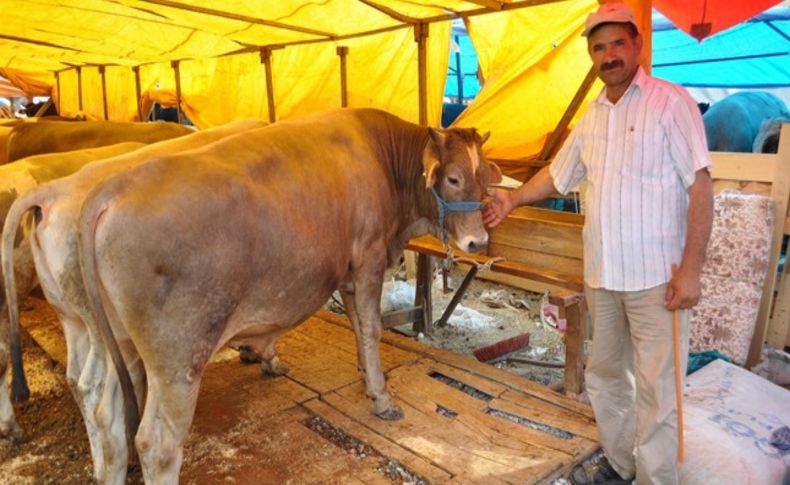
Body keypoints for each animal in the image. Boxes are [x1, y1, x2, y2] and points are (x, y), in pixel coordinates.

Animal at [76, 108, 502, 482]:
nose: (478, 241)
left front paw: (368, 378)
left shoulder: (347, 271)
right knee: (157, 445)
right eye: (453, 178)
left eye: (483, 176)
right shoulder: (369, 258)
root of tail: (112, 189)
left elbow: (358, 326)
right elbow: (372, 328)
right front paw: (382, 398)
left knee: (104, 415)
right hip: (178, 359)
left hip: (120, 344)